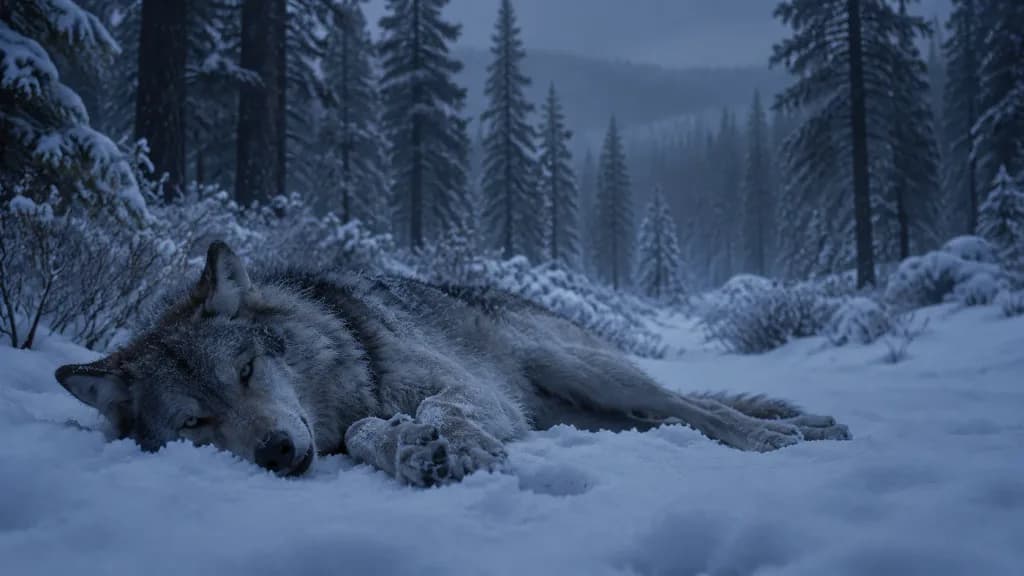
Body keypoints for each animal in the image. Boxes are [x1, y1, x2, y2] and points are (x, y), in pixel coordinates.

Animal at [55, 242, 850, 486]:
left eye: (246, 372)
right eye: (197, 422)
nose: (277, 451)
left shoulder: (459, 390)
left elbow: (430, 409)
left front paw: (449, 443)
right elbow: (369, 435)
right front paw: (418, 452)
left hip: (581, 370)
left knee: (698, 407)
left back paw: (784, 437)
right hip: (591, 415)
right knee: (678, 417)